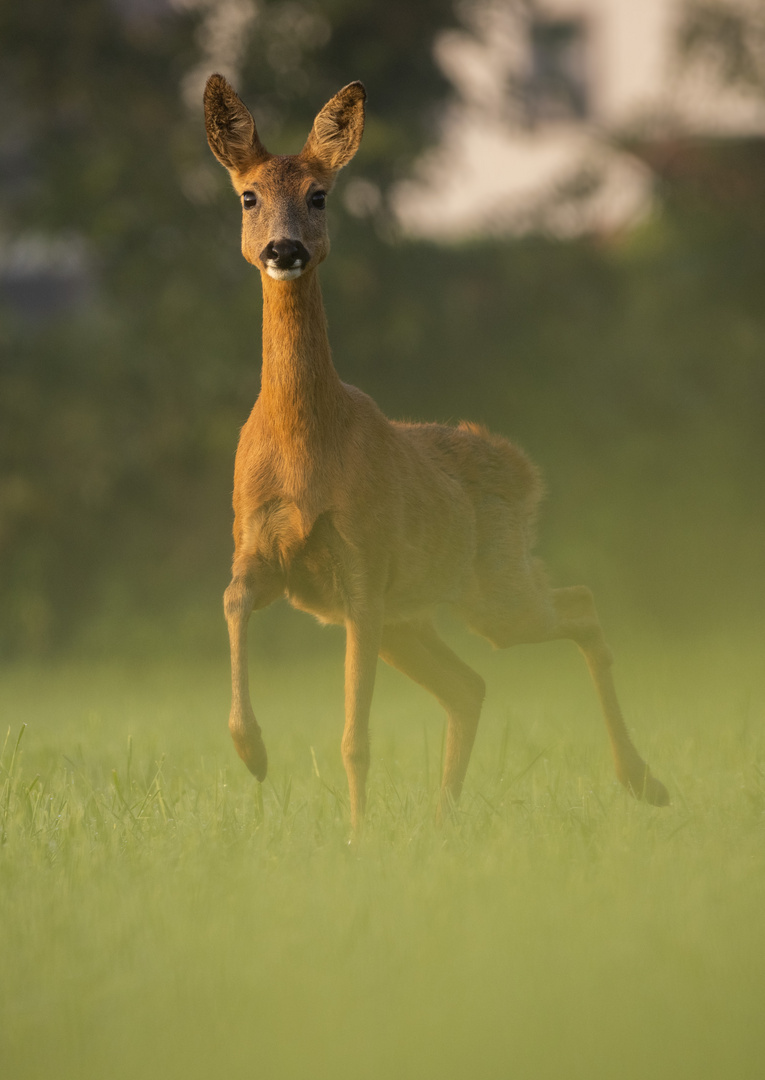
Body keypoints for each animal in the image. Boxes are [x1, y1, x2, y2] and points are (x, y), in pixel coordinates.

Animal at [203, 73, 669, 833]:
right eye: (247, 195)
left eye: (319, 194)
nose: (283, 250)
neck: (304, 449)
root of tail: (523, 470)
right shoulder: (258, 546)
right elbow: (232, 601)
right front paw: (253, 754)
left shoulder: (362, 574)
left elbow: (354, 737)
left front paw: (357, 838)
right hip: (415, 618)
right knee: (470, 683)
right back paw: (445, 818)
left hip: (489, 590)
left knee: (578, 607)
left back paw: (641, 781)